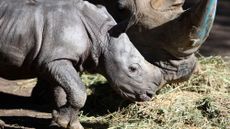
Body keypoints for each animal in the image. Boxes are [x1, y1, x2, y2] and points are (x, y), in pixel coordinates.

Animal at [0, 0, 160, 128]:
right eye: (133, 69)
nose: (150, 94)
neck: (101, 35)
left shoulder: (62, 60)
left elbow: (65, 92)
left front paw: (66, 123)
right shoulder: (54, 60)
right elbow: (79, 92)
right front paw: (63, 121)